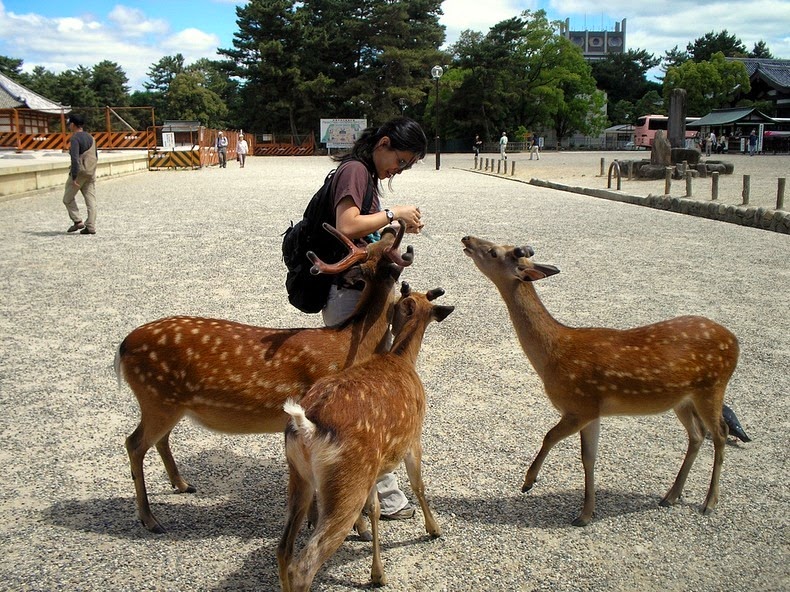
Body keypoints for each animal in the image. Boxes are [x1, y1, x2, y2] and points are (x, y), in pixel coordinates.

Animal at [118, 222, 418, 532]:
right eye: (390, 247)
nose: (391, 224)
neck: (349, 343)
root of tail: (123, 347)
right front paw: (356, 528)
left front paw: (311, 519)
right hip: (155, 398)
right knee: (134, 444)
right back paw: (149, 518)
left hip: (169, 403)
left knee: (159, 440)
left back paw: (182, 484)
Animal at [278, 284, 454, 592]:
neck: (402, 359)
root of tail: (307, 427)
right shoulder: (413, 440)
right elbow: (419, 485)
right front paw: (433, 529)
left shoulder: (375, 468)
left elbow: (374, 508)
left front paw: (377, 572)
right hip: (347, 480)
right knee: (303, 564)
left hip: (300, 474)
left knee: (284, 549)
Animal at [464, 236, 744, 528]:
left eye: (493, 251)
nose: (467, 238)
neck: (553, 354)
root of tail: (736, 342)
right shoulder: (592, 412)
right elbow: (588, 458)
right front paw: (585, 514)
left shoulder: (580, 405)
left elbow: (549, 436)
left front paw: (529, 482)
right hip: (682, 400)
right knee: (697, 434)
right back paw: (670, 496)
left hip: (712, 388)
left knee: (720, 432)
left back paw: (709, 503)